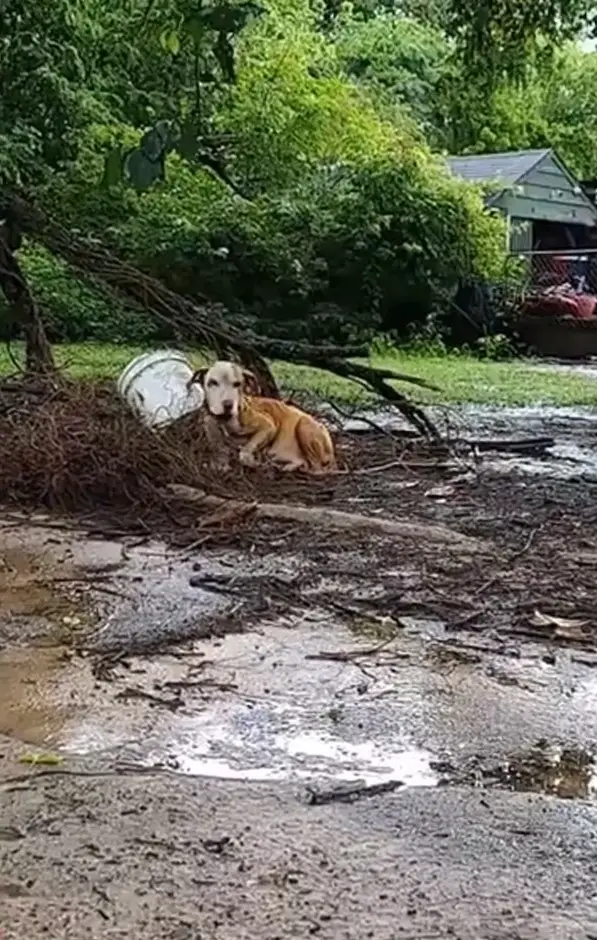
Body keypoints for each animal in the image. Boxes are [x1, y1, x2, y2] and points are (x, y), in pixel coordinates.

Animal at [187, 362, 336, 474]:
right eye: (212, 383)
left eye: (237, 384)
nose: (228, 404)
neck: (226, 421)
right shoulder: (209, 423)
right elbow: (218, 447)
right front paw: (220, 463)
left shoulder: (268, 425)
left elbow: (246, 450)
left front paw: (250, 459)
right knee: (303, 462)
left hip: (304, 426)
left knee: (317, 468)